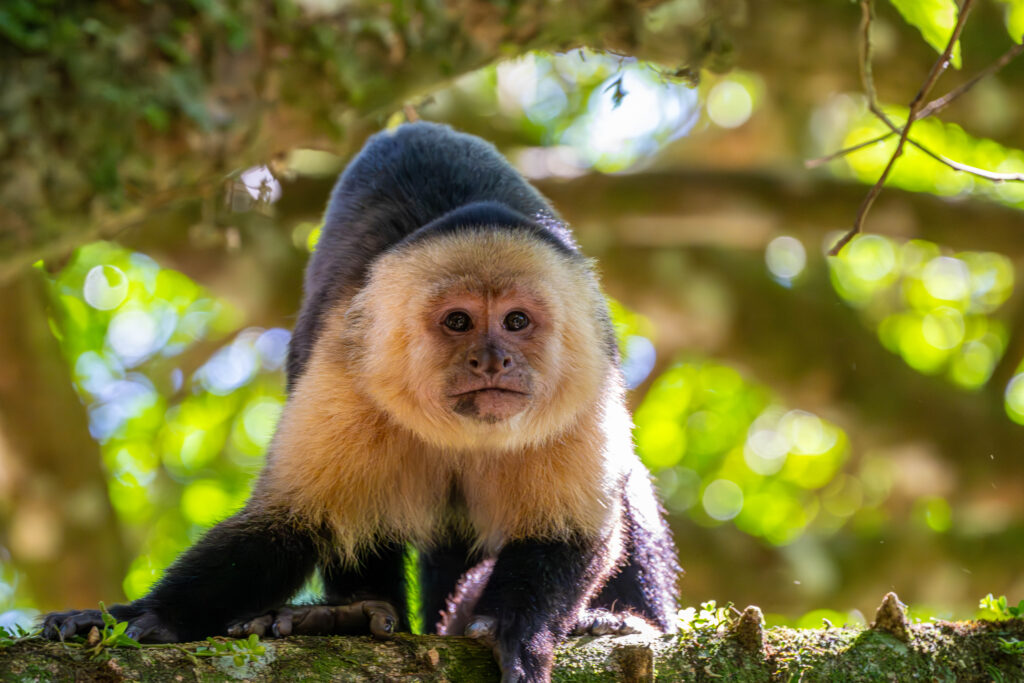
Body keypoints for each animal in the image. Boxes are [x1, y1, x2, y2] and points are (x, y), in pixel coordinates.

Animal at [41, 122, 679, 683]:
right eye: (458, 321)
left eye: (516, 322)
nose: (492, 360)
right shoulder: (349, 376)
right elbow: (290, 523)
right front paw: (145, 615)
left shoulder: (585, 384)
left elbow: (573, 530)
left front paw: (519, 627)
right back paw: (351, 614)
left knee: (626, 485)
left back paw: (623, 619)